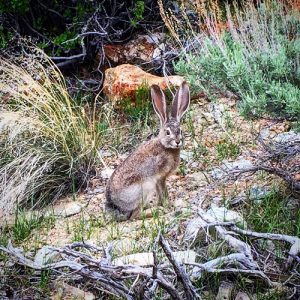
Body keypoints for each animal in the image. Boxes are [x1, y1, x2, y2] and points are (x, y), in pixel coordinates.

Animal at [105, 81, 190, 220]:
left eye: (180, 131)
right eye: (167, 132)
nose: (178, 142)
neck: (165, 146)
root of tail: (116, 205)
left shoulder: (158, 180)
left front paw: (163, 204)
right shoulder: (160, 177)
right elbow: (163, 192)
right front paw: (167, 206)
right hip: (144, 189)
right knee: (135, 215)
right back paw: (156, 211)